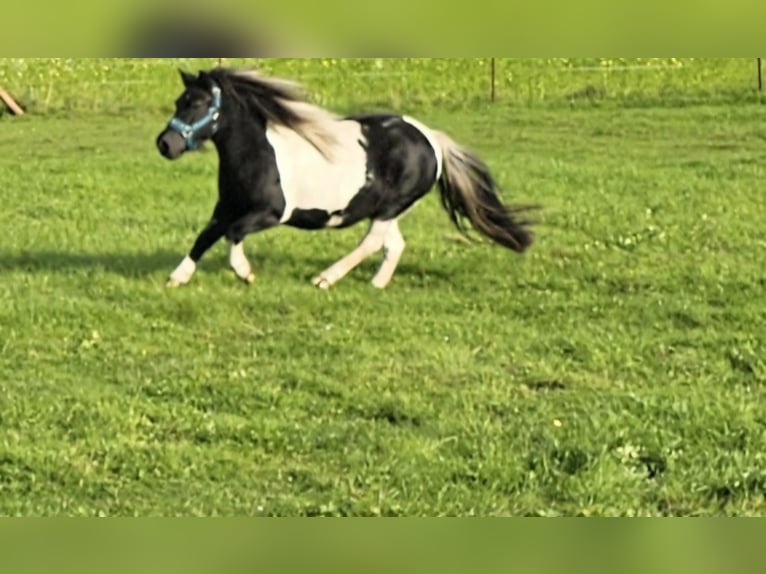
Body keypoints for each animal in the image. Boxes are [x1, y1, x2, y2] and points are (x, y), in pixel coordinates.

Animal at [156, 68, 540, 290]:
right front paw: (177, 277)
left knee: (372, 242)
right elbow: (205, 236)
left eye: (197, 103)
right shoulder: (226, 207)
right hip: (386, 209)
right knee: (393, 245)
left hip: (391, 206)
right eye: (178, 100)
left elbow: (233, 235)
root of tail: (430, 138)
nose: (165, 144)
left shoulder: (269, 213)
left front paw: (245, 272)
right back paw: (375, 284)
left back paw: (325, 278)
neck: (257, 153)